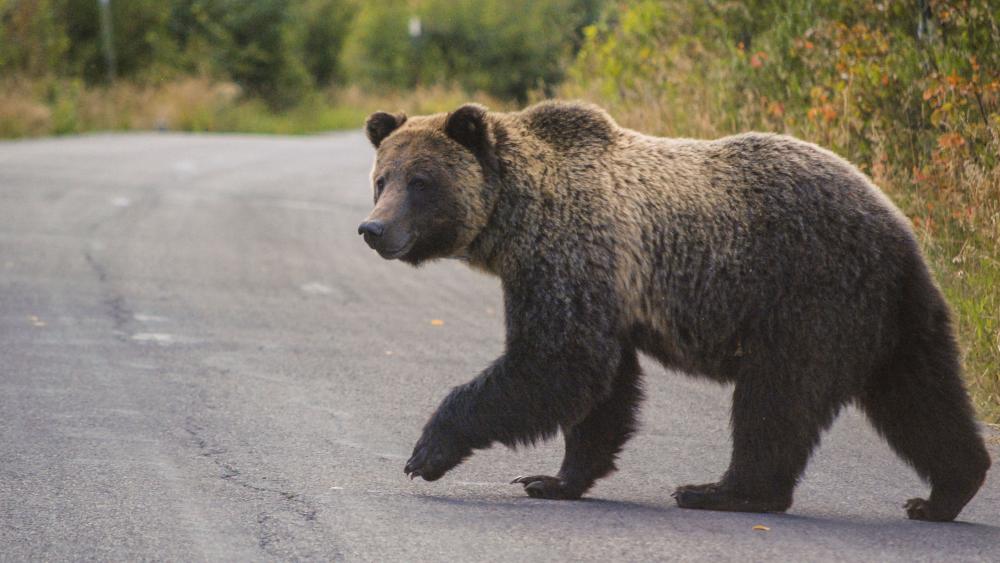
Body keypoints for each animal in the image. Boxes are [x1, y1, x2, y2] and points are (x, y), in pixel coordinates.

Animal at [356, 100, 988, 520]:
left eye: (421, 181)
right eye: (381, 179)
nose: (373, 229)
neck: (516, 218)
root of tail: (898, 224)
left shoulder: (570, 254)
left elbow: (556, 362)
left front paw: (428, 450)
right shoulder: (603, 289)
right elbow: (602, 388)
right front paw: (554, 479)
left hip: (808, 294)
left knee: (777, 397)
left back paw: (723, 492)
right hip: (891, 314)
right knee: (920, 396)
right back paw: (945, 492)